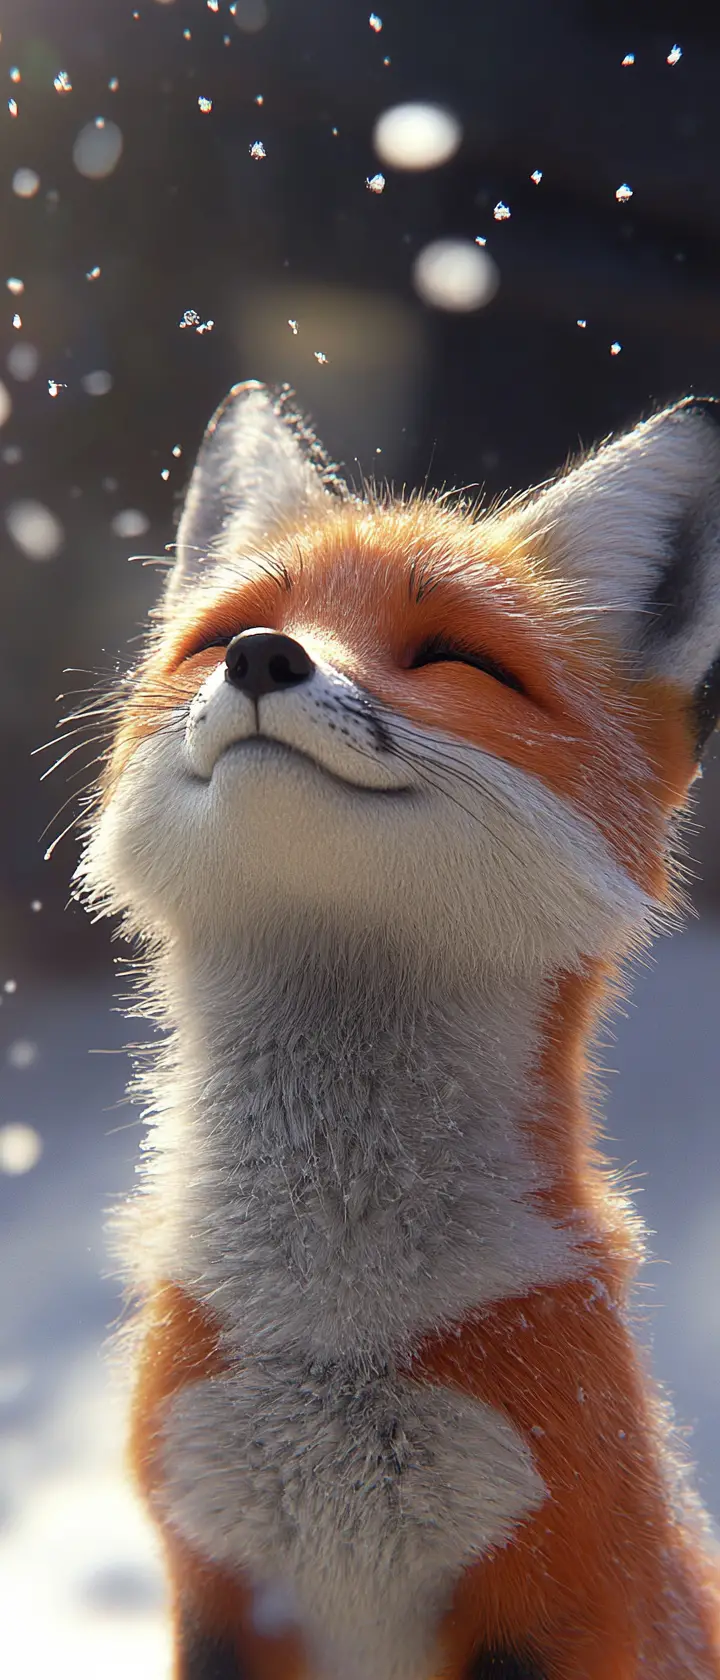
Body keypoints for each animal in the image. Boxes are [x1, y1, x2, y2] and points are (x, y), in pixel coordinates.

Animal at [73, 381, 720, 1680]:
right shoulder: (218, 1584)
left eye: (459, 660)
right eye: (228, 633)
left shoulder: (560, 1587)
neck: (332, 1329)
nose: (265, 660)